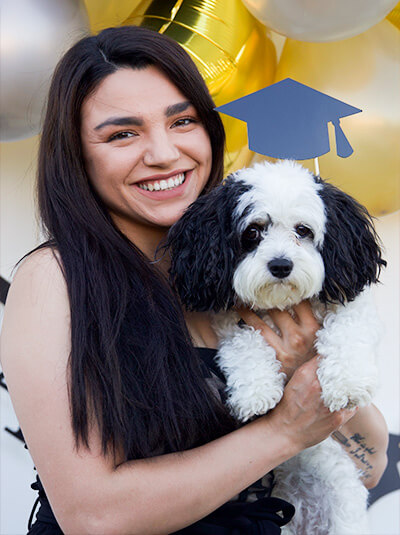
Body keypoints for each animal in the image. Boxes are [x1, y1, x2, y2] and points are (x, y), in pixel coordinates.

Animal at [166, 160, 384, 535]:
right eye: (253, 232)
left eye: (303, 230)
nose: (281, 265)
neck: (281, 305)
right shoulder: (229, 322)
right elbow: (244, 342)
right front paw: (255, 391)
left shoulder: (354, 308)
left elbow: (347, 328)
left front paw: (347, 382)